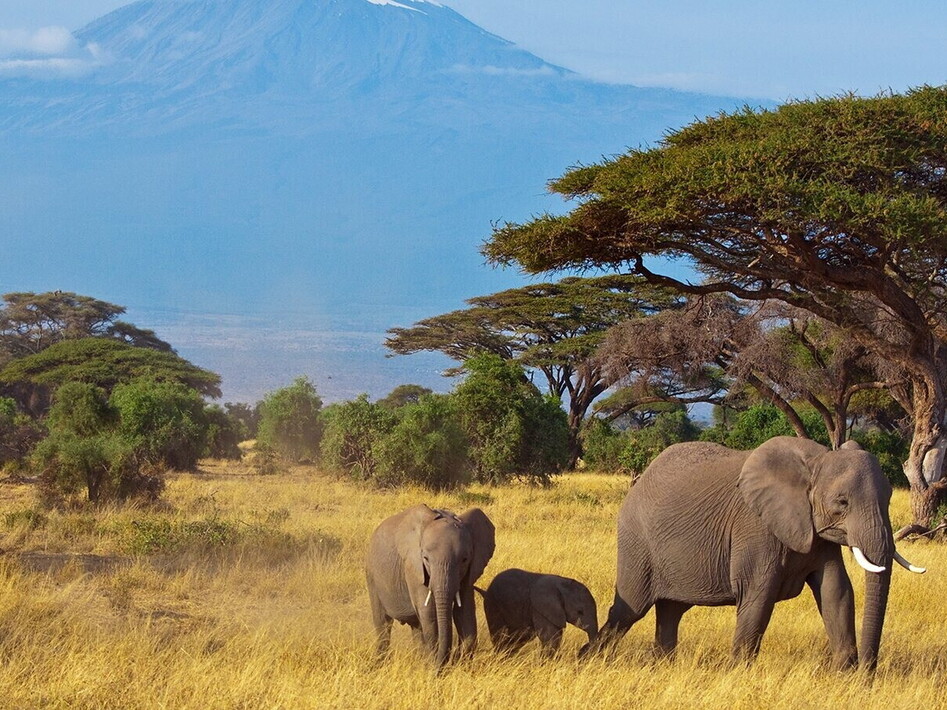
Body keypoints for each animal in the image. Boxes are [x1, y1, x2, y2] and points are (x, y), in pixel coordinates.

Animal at [365, 504, 495, 670]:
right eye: (426, 558)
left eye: (464, 559)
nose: (450, 660)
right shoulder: (413, 568)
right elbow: (429, 614)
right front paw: (432, 667)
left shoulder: (470, 571)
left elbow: (465, 613)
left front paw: (460, 665)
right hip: (371, 575)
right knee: (383, 623)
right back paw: (380, 664)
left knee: (416, 626)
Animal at [591, 436, 925, 670]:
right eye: (841, 503)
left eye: (889, 497)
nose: (869, 672)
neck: (815, 461)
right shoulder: (755, 527)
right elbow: (758, 596)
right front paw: (738, 673)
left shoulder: (817, 535)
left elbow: (836, 592)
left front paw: (845, 676)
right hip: (637, 542)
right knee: (629, 610)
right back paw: (590, 660)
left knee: (671, 612)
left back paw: (662, 667)